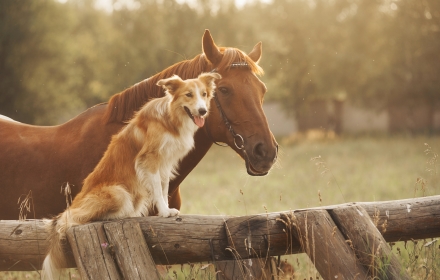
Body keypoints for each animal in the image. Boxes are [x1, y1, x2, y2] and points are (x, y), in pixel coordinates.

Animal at [41, 71, 220, 278]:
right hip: (118, 193)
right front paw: (165, 212)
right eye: (188, 95)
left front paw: (166, 210)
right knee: (72, 219)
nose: (203, 111)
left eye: (204, 94)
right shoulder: (150, 160)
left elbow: (164, 188)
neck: (171, 118)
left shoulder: (165, 163)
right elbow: (158, 189)